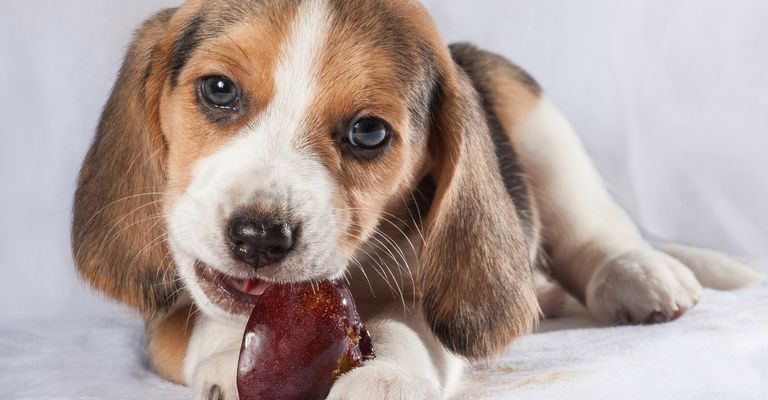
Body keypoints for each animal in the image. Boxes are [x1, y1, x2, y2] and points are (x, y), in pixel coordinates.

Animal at [70, 1, 760, 398]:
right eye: (218, 90)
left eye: (369, 133)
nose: (259, 238)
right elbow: (200, 322)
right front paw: (222, 360)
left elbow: (409, 326)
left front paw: (386, 378)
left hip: (534, 116)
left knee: (594, 230)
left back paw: (635, 273)